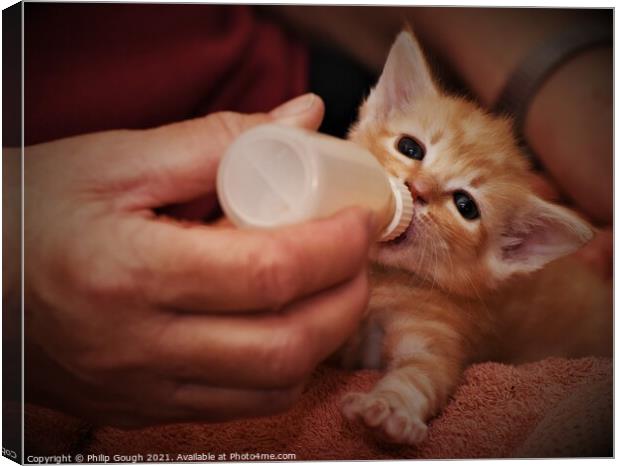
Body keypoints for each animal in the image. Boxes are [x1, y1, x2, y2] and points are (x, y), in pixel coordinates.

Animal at [342, 31, 612, 446]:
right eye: (410, 147)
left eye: (465, 205)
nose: (418, 188)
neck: (385, 278)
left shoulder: (439, 333)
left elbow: (421, 374)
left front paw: (391, 407)